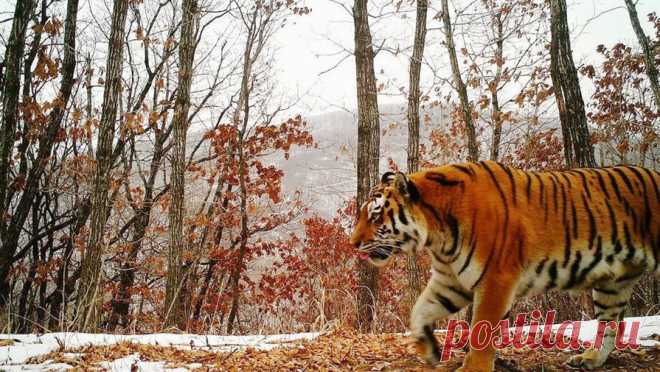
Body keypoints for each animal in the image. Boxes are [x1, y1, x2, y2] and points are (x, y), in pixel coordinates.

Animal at [348, 161, 656, 372]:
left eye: (375, 216)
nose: (352, 243)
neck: (437, 234)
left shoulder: (496, 279)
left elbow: (480, 330)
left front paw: (472, 368)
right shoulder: (450, 280)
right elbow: (420, 309)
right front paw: (429, 350)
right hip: (612, 285)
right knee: (610, 325)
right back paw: (590, 359)